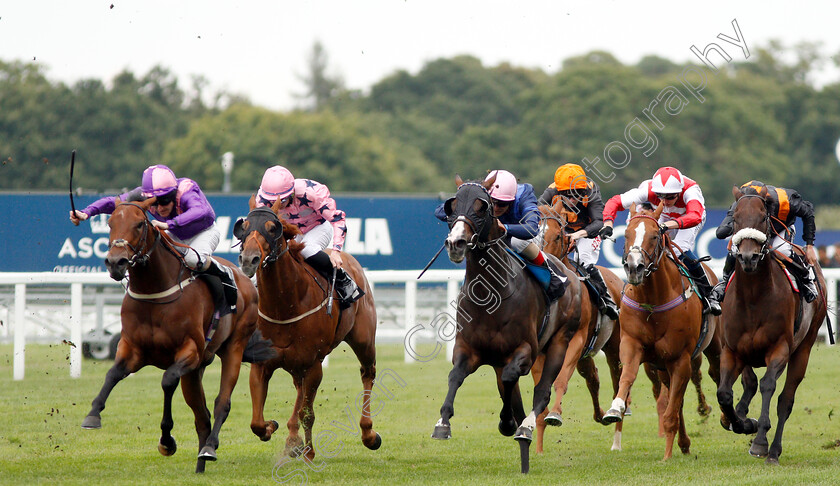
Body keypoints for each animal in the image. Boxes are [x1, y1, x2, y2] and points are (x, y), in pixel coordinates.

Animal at [80, 196, 268, 472]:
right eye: (110, 223)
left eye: (139, 224)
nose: (116, 262)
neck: (154, 293)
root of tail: (245, 279)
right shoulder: (132, 348)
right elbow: (113, 374)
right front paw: (93, 415)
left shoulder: (189, 351)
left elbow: (167, 380)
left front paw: (167, 440)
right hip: (196, 370)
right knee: (201, 416)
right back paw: (200, 464)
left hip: (233, 347)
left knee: (221, 403)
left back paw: (209, 448)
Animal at [235, 194, 382, 460]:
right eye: (244, 227)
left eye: (272, 228)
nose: (249, 259)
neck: (285, 305)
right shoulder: (262, 364)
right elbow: (256, 422)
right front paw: (276, 429)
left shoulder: (314, 364)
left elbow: (306, 412)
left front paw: (307, 451)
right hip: (297, 365)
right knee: (298, 389)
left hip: (363, 339)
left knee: (368, 373)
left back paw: (368, 433)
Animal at [430, 176, 580, 474]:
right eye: (452, 205)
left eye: (482, 206)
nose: (456, 243)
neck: (491, 295)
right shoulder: (467, 349)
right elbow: (455, 376)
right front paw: (443, 423)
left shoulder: (525, 351)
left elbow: (514, 381)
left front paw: (510, 422)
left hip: (560, 342)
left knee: (543, 391)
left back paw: (526, 427)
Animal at [600, 203, 724, 462]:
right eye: (626, 235)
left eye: (655, 236)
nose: (634, 267)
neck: (653, 302)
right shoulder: (632, 345)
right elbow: (628, 377)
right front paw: (616, 408)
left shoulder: (680, 358)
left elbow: (672, 407)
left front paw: (666, 455)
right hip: (662, 365)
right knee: (676, 400)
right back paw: (684, 443)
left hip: (712, 347)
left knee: (715, 375)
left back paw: (726, 418)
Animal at [716, 185, 828, 464]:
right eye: (735, 219)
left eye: (762, 218)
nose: (748, 257)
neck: (754, 298)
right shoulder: (731, 350)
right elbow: (725, 393)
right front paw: (742, 422)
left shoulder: (780, 348)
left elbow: (768, 385)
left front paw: (759, 441)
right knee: (748, 385)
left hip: (804, 349)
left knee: (785, 400)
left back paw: (774, 450)